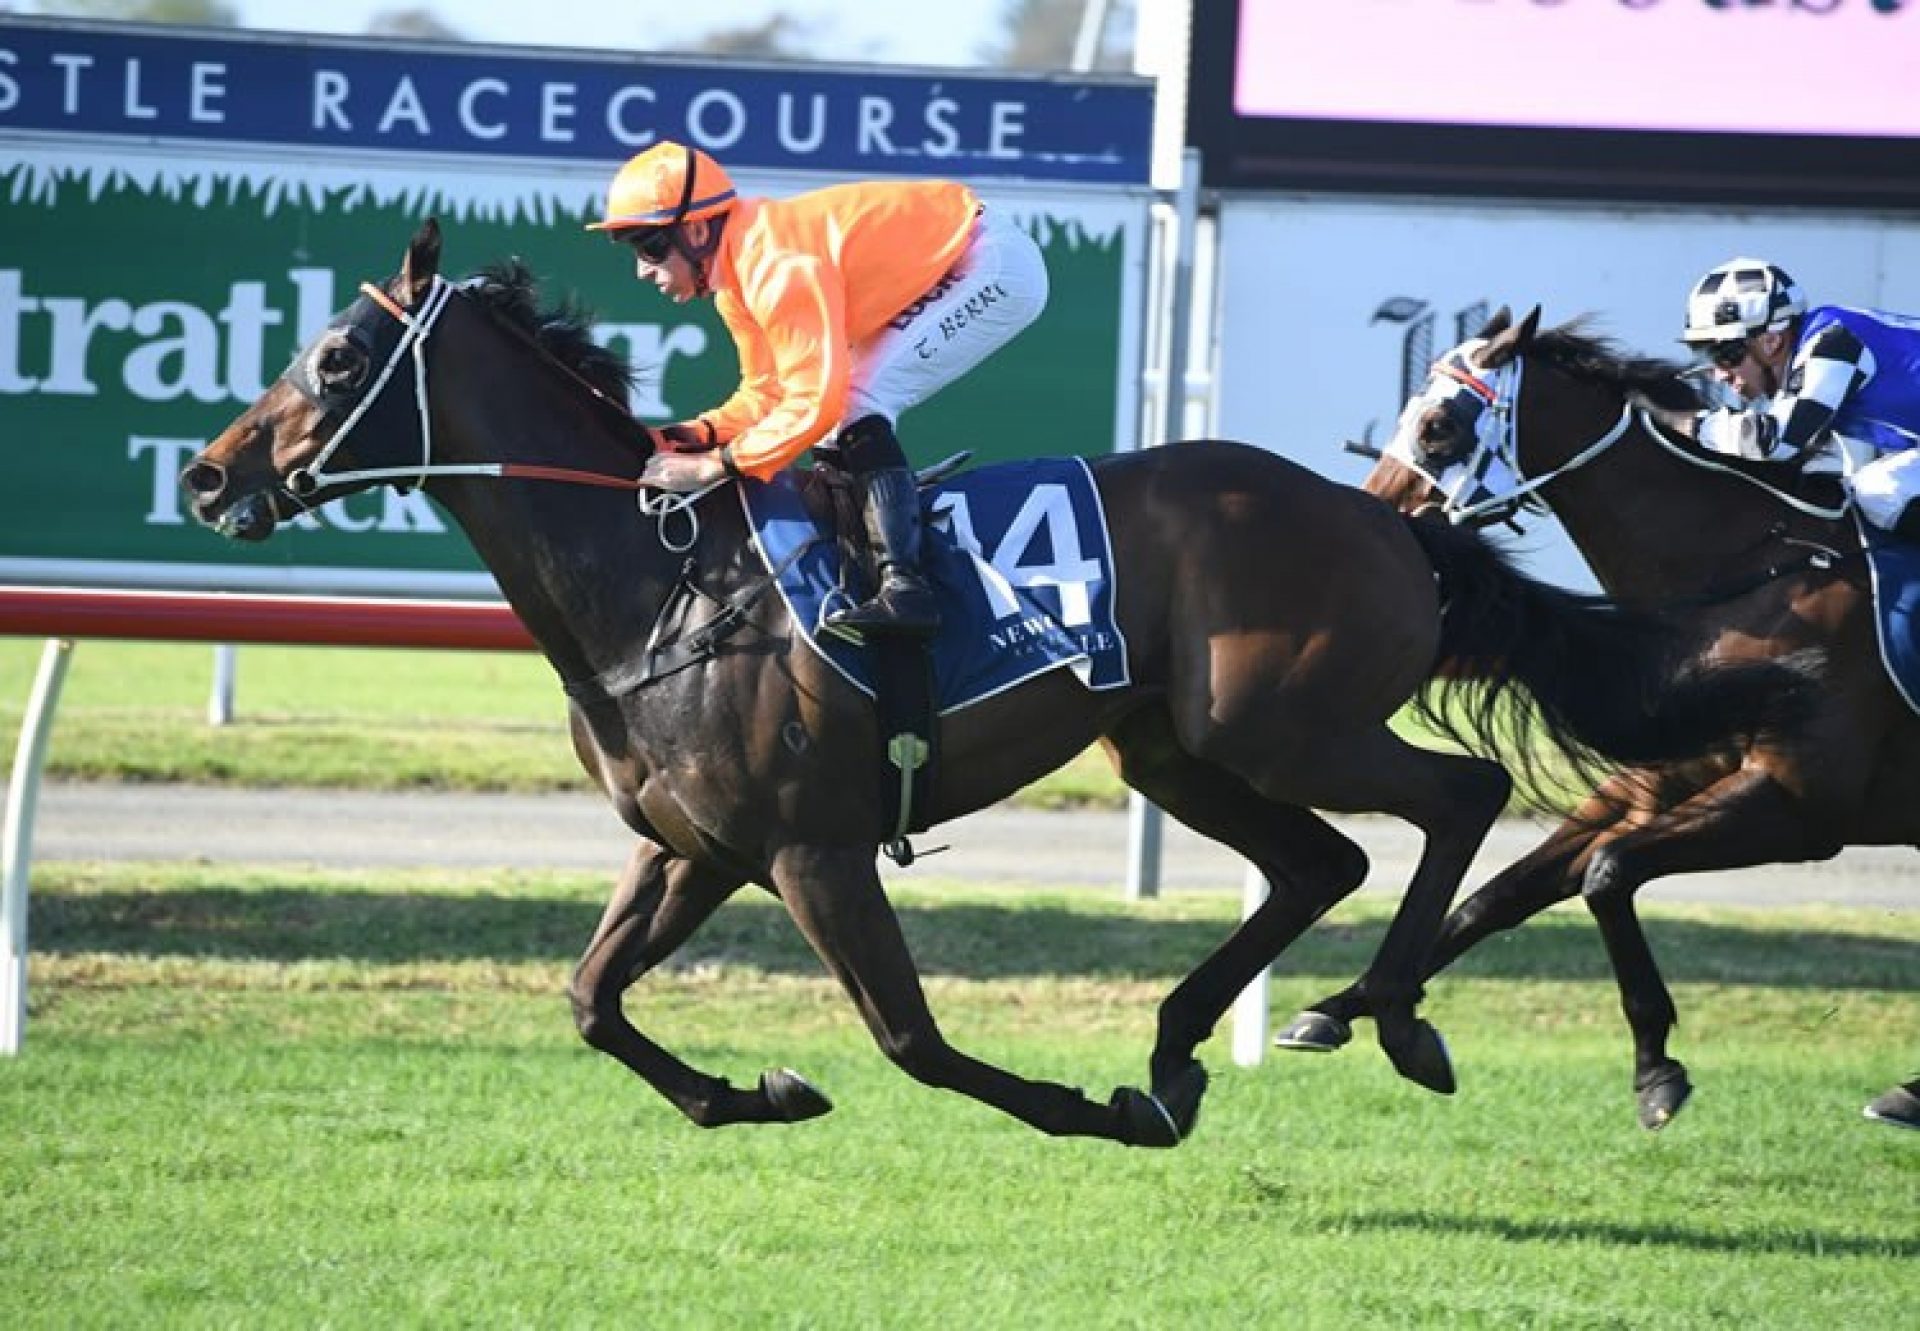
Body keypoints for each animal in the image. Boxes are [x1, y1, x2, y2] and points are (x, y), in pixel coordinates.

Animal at [180, 225, 1812, 1144]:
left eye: (338, 357)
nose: (204, 477)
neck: (658, 582)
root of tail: (1391, 516)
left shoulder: (811, 846)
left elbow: (911, 1039)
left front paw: (1087, 1110)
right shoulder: (691, 847)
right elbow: (589, 1000)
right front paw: (746, 1093)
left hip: (1280, 719)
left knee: (1453, 798)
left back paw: (1383, 1016)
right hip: (1173, 744)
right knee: (1320, 860)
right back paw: (1198, 1037)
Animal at [1282, 309, 1912, 1129]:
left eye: (1437, 425)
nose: (1375, 520)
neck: (1755, 573)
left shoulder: (1802, 806)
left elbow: (1607, 873)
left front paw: (1656, 1068)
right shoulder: (1663, 775)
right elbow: (1502, 893)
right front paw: (1338, 1008)